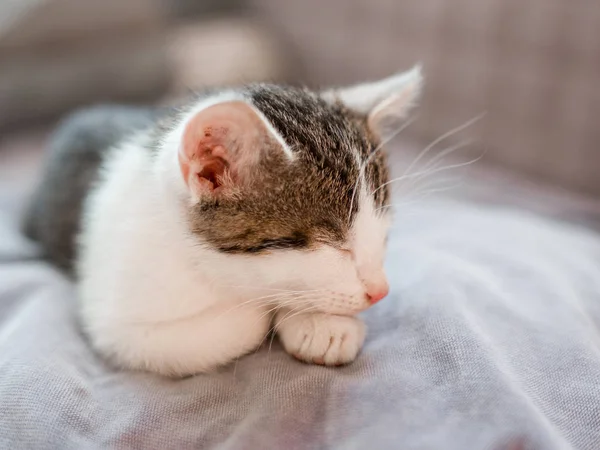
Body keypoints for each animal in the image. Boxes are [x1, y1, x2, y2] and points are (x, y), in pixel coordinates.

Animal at [23, 67, 422, 376]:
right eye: (334, 245)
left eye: (383, 238)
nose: (380, 291)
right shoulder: (119, 326)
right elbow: (244, 321)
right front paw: (283, 312)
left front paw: (320, 325)